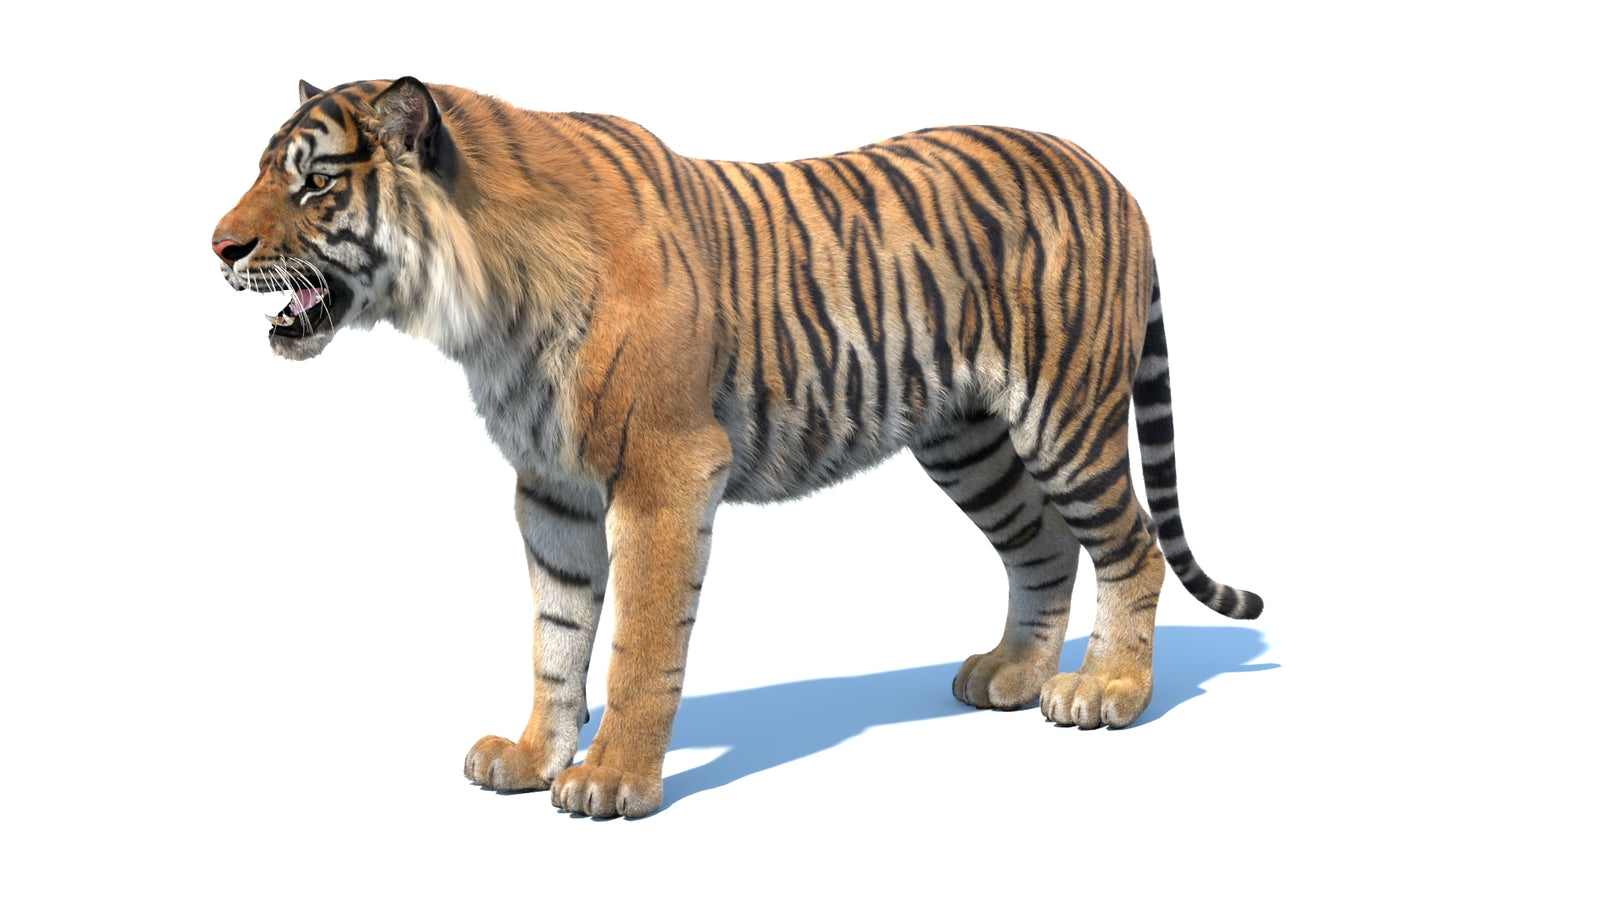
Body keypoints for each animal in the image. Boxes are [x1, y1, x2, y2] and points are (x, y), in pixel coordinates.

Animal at [213, 77, 1262, 819]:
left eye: (314, 181)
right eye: (265, 172)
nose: (218, 246)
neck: (479, 308)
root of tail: (1109, 171)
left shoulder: (663, 474)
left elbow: (638, 643)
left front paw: (611, 782)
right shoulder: (549, 490)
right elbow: (556, 637)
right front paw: (530, 757)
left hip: (1064, 414)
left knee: (1130, 547)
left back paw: (1108, 690)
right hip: (966, 439)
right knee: (1042, 546)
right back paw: (1010, 675)